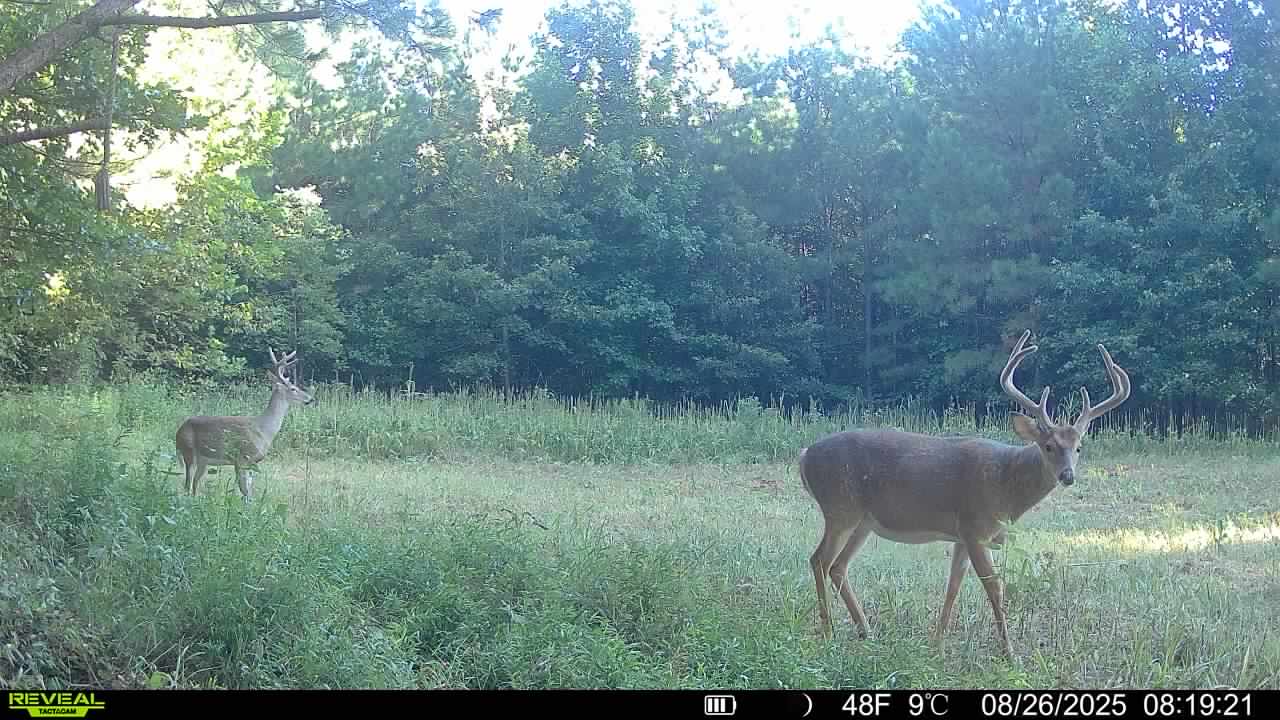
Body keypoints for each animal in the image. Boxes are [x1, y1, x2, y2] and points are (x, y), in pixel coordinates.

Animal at [175, 348, 315, 502]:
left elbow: (249, 492)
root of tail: (178, 431)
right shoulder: (241, 458)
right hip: (188, 451)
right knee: (187, 484)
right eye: (293, 388)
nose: (310, 399)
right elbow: (244, 491)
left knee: (195, 483)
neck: (263, 429)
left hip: (203, 460)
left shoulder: (252, 463)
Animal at [798, 329, 1131, 659]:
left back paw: (865, 630)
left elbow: (953, 586)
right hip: (840, 506)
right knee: (820, 560)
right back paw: (829, 631)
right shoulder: (975, 528)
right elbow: (994, 587)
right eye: (1048, 446)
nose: (1067, 476)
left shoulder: (961, 536)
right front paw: (1009, 652)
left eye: (1079, 447)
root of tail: (803, 457)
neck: (1006, 485)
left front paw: (937, 643)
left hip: (863, 520)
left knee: (838, 566)